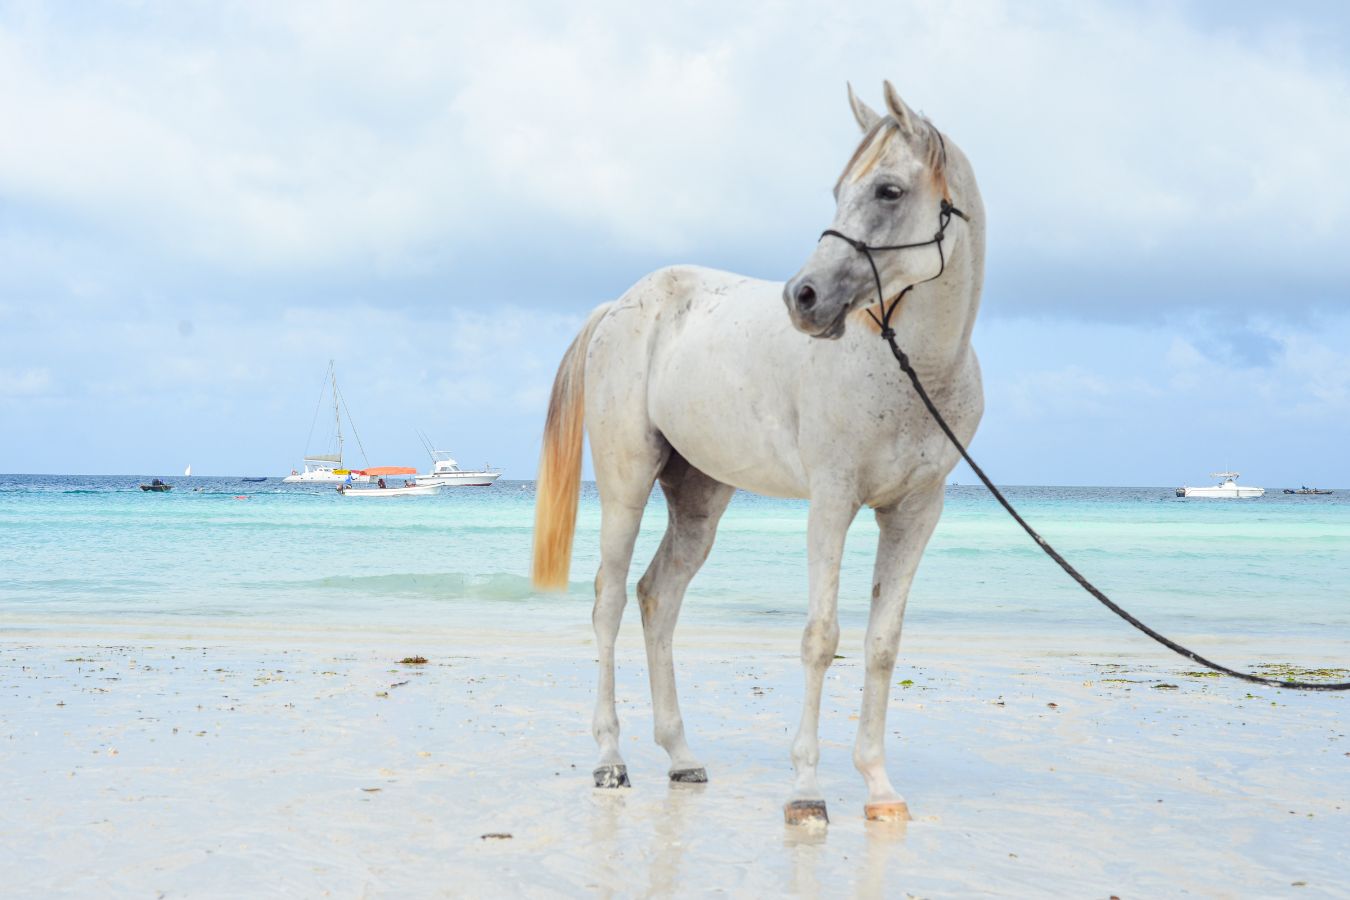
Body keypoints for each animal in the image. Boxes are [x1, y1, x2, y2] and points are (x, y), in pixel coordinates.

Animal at [531, 81, 986, 825]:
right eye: (839, 189)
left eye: (888, 190)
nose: (803, 298)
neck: (908, 369)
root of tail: (621, 305)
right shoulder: (832, 501)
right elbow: (821, 637)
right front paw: (806, 791)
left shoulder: (916, 511)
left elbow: (882, 645)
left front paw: (879, 787)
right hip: (627, 484)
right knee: (608, 601)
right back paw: (610, 759)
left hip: (699, 498)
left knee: (657, 597)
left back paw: (681, 757)